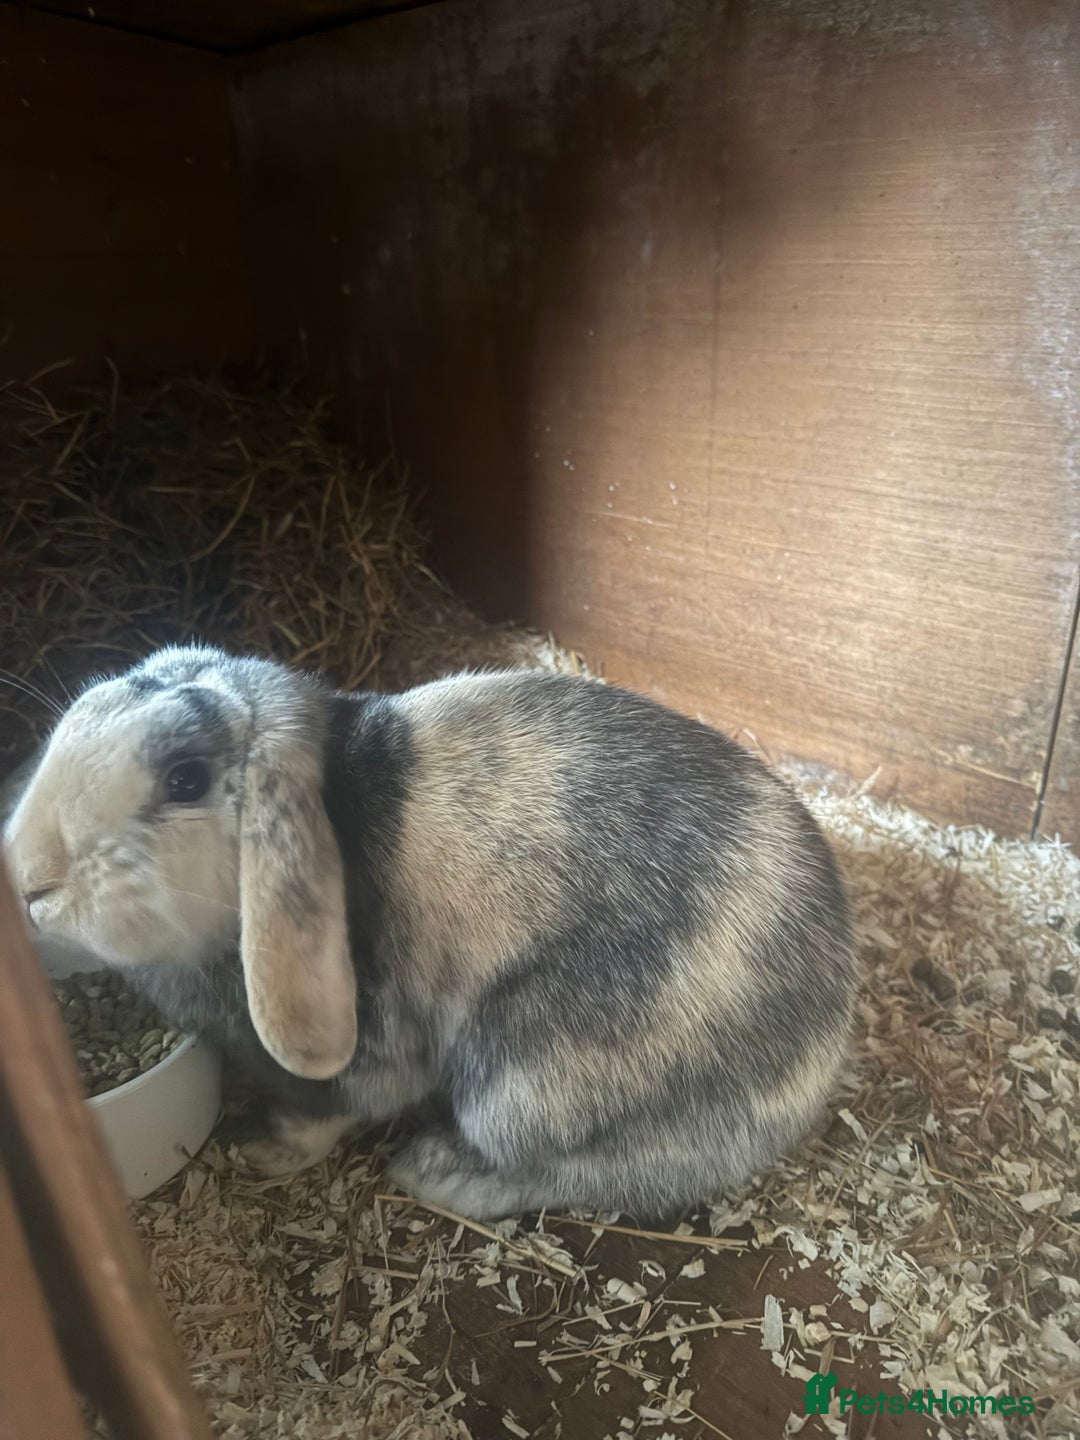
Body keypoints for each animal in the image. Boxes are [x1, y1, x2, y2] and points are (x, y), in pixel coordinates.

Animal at [2, 643, 856, 1220]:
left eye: (185, 779)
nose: (30, 880)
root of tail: (820, 1049)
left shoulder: (364, 1057)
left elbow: (324, 1115)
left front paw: (262, 1152)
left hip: (520, 1087)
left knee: (578, 1175)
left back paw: (436, 1173)